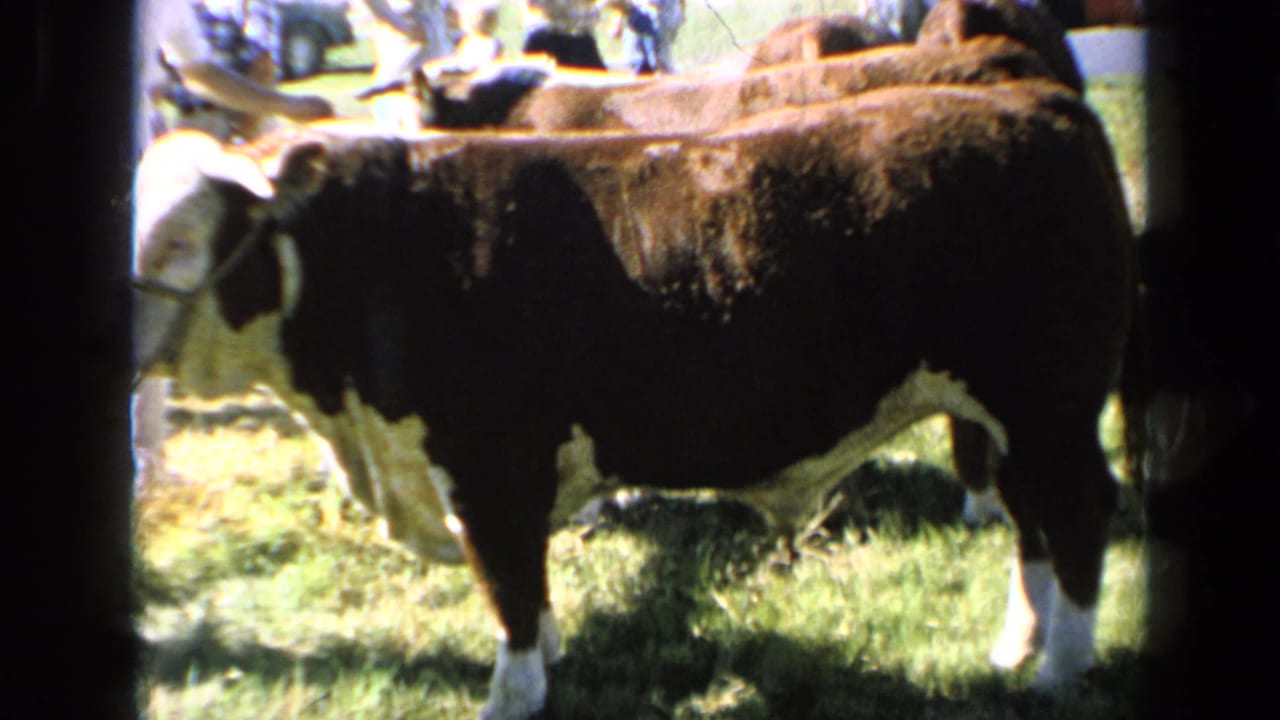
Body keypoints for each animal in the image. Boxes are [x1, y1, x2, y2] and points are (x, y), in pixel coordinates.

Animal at [133, 76, 1137, 718]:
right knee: (1031, 524)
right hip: (1001, 414)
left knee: (1079, 515)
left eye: (180, 238)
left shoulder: (490, 468)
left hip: (1048, 403)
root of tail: (1033, 102)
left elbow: (510, 591)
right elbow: (528, 594)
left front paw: (516, 697)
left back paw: (1060, 673)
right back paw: (1017, 650)